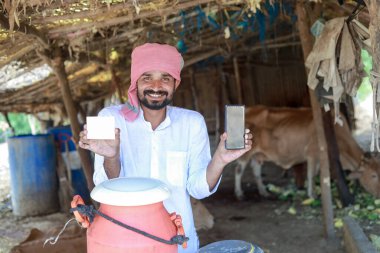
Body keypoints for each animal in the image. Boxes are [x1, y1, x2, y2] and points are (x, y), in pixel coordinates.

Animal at [235, 105, 380, 200]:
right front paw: (312, 195)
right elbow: (311, 175)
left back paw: (263, 192)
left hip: (258, 155)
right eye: (373, 175)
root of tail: (249, 109)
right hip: (245, 152)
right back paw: (239, 193)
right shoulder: (312, 154)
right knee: (239, 170)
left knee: (256, 171)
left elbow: (315, 174)